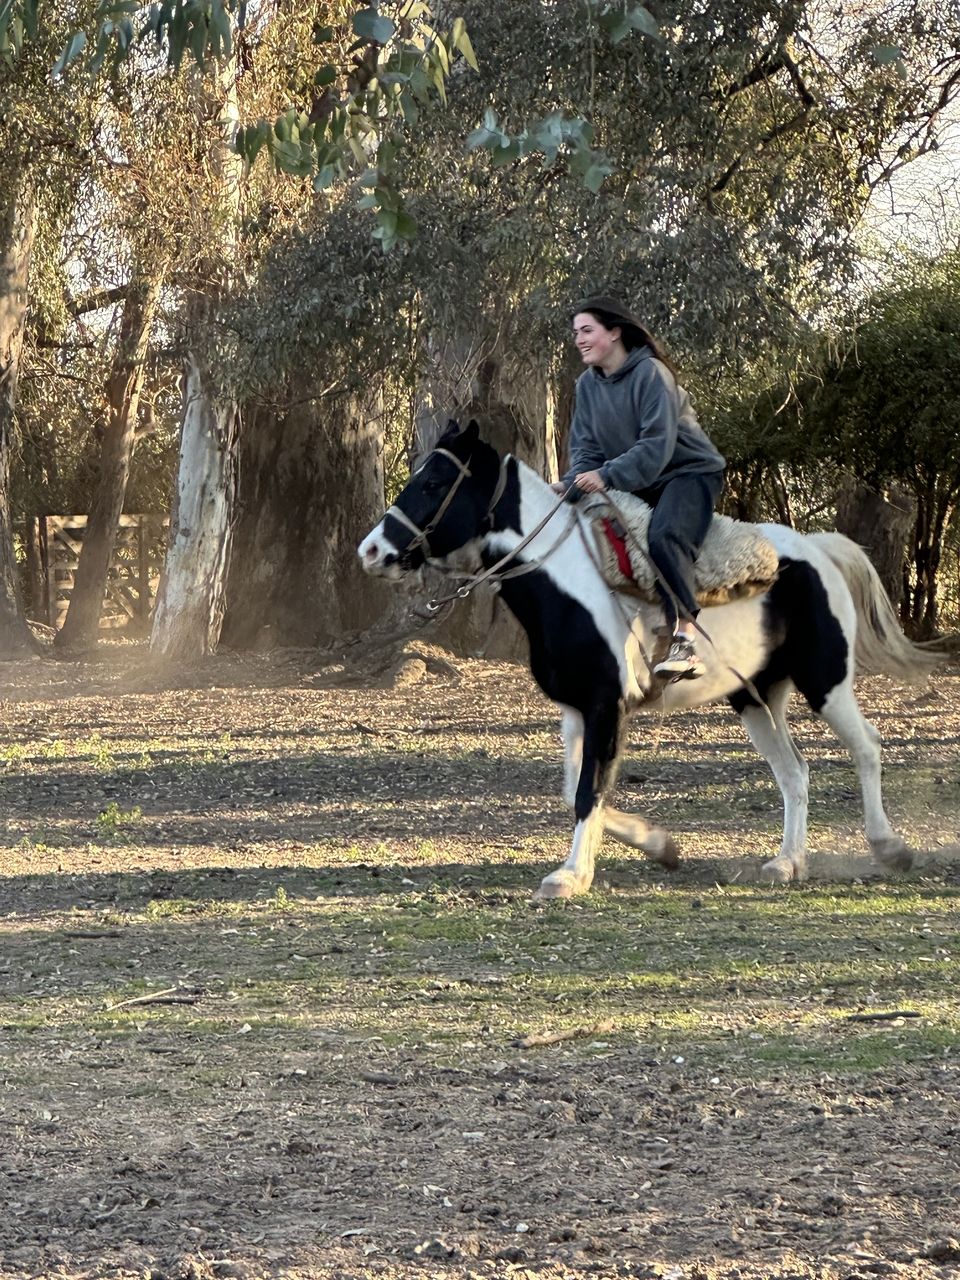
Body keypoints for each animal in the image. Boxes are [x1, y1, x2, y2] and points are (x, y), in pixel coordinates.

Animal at [358, 422, 931, 901]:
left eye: (433, 482)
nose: (370, 551)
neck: (567, 581)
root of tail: (814, 548)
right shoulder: (577, 708)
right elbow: (575, 787)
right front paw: (660, 845)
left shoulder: (606, 704)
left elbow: (589, 789)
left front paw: (571, 875)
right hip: (754, 696)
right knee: (795, 773)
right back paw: (787, 863)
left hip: (824, 680)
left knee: (866, 747)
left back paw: (888, 847)